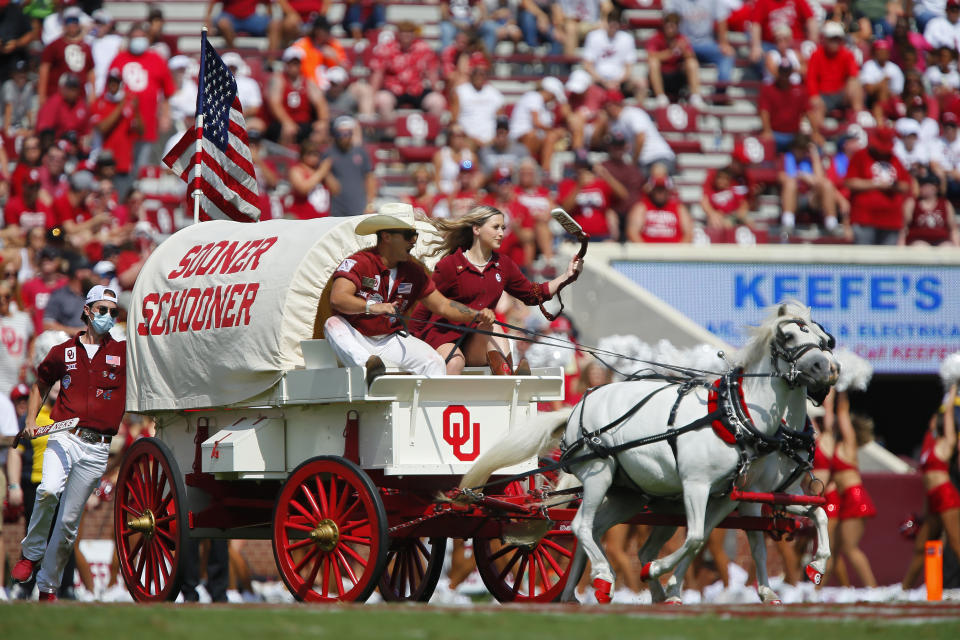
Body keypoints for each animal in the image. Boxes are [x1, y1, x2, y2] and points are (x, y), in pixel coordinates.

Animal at [462, 302, 836, 604]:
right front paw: (659, 574)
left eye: (825, 340)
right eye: (789, 336)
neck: (734, 414)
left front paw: (812, 568)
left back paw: (578, 594)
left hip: (628, 494)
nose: (828, 369)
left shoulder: (743, 494)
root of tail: (579, 404)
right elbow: (699, 537)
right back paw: (604, 578)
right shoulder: (703, 487)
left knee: (593, 530)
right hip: (599, 474)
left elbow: (811, 514)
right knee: (579, 526)